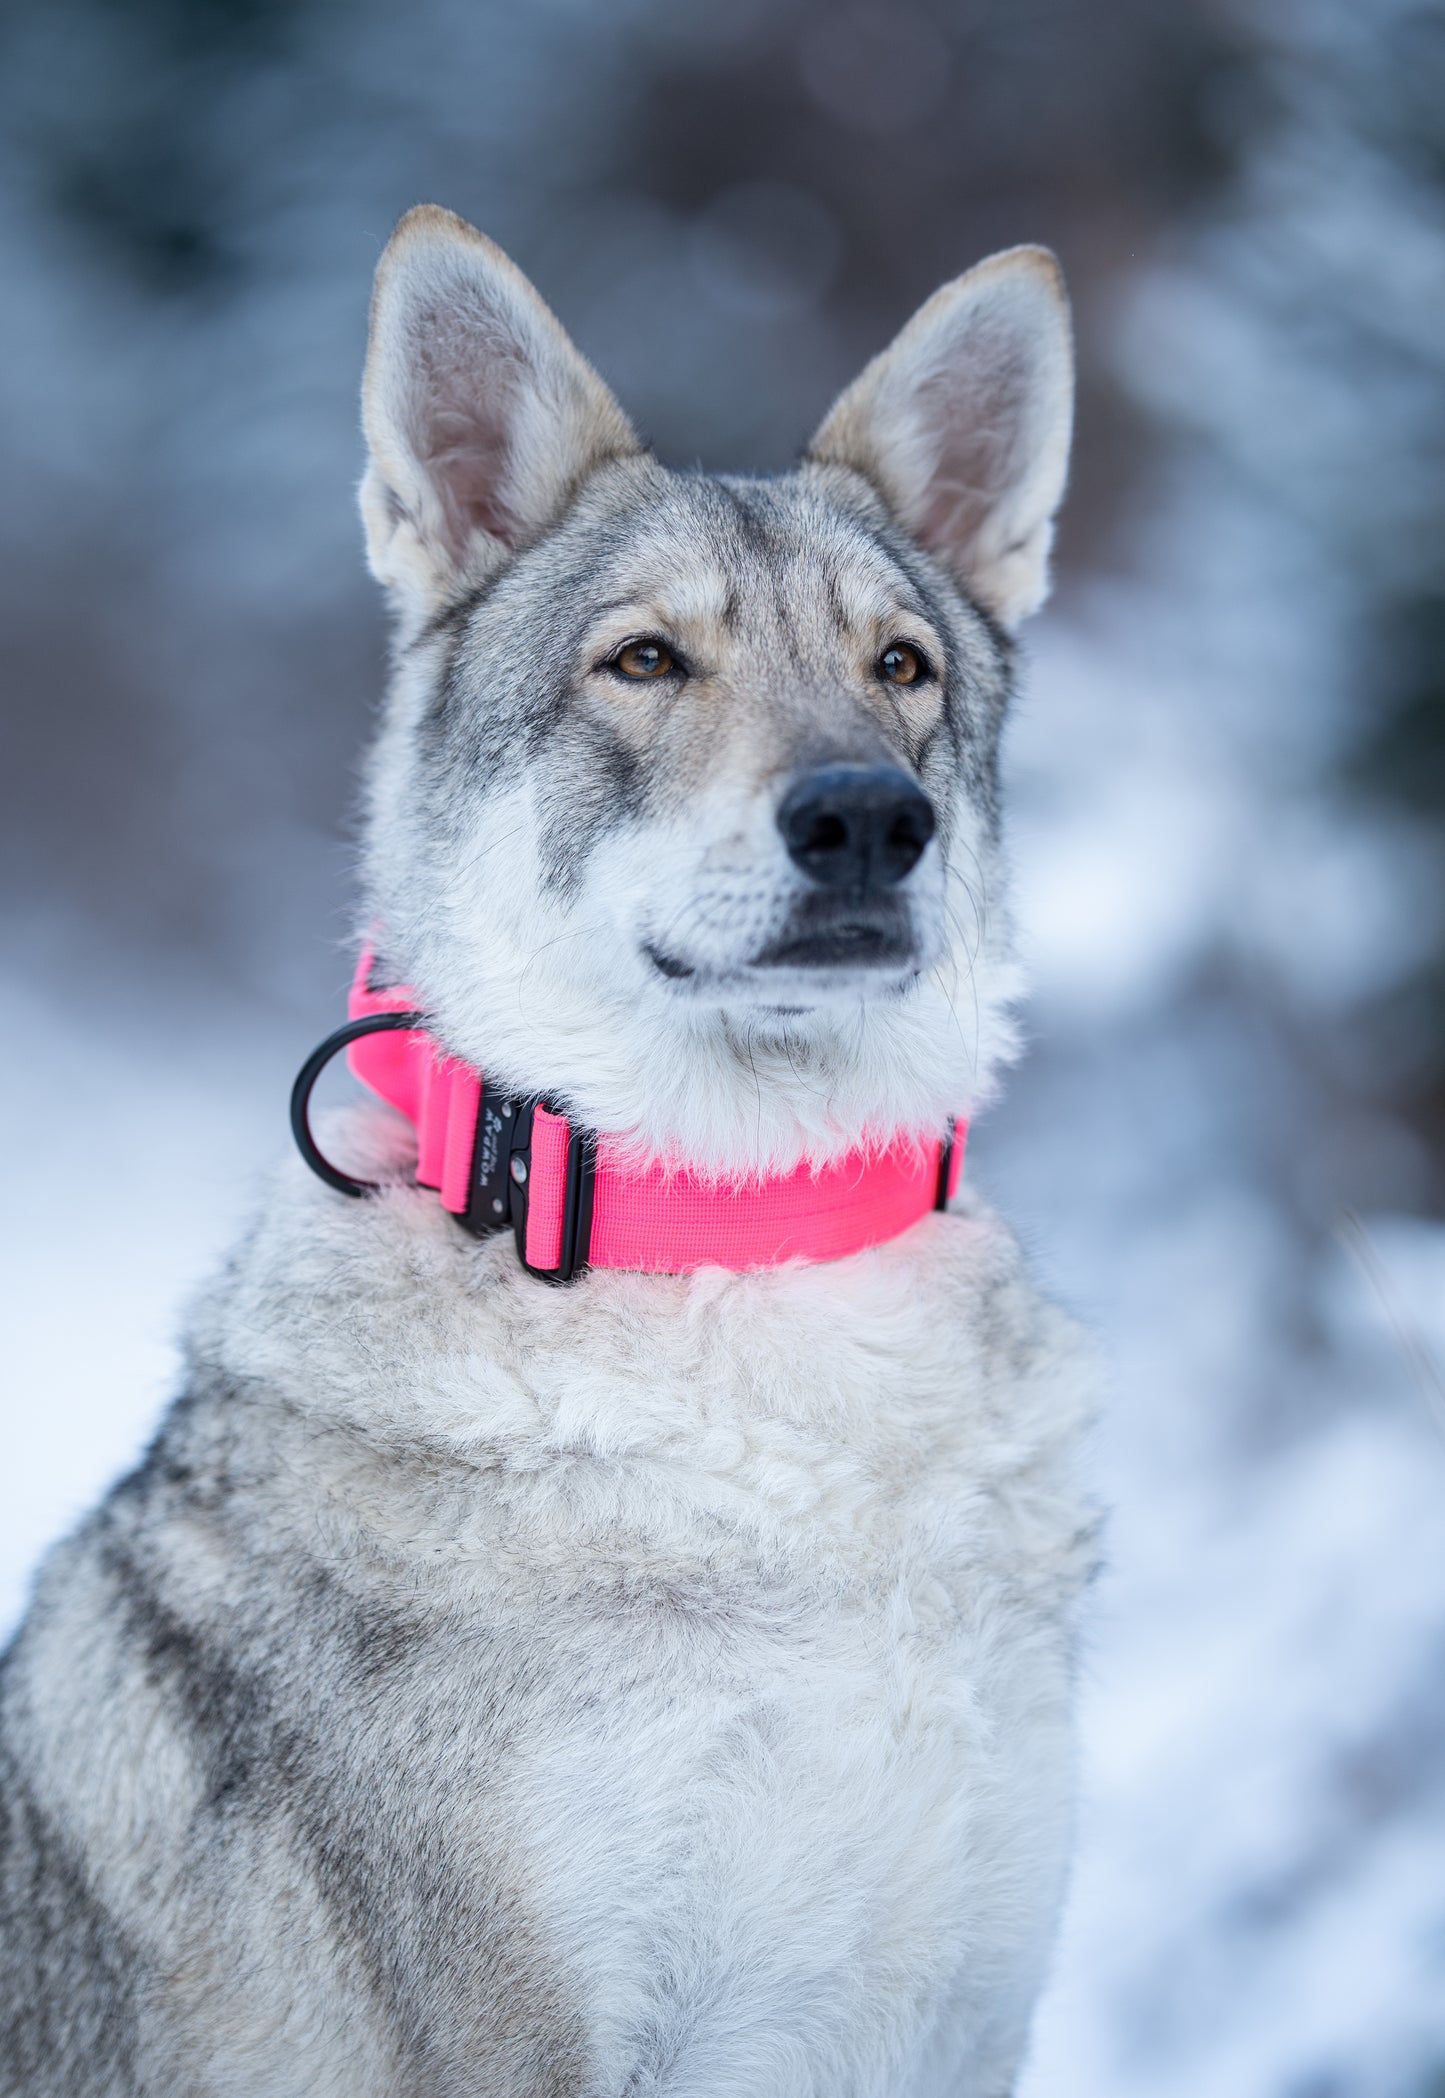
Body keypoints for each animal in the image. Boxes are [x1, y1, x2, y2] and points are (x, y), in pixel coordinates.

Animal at [0, 200, 1090, 2098]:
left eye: (901, 668)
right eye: (645, 660)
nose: (869, 818)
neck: (740, 1243)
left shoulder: (960, 2012)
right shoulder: (526, 2041)